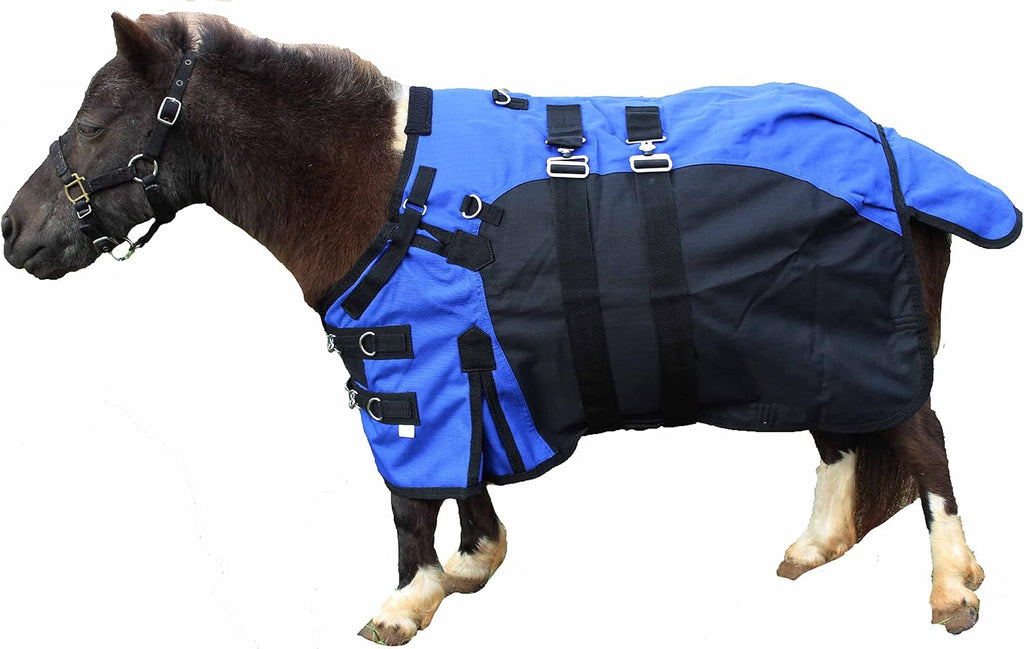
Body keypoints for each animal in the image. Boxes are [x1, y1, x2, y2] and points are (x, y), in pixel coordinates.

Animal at [1, 12, 1013, 645]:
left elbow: (413, 497)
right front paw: (471, 566)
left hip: (855, 340)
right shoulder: (465, 368)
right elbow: (468, 479)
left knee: (921, 441)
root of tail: (888, 143)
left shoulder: (410, 371)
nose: (14, 231)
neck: (375, 180)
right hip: (805, 342)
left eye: (95, 124)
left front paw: (407, 601)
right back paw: (815, 545)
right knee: (841, 437)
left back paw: (952, 586)